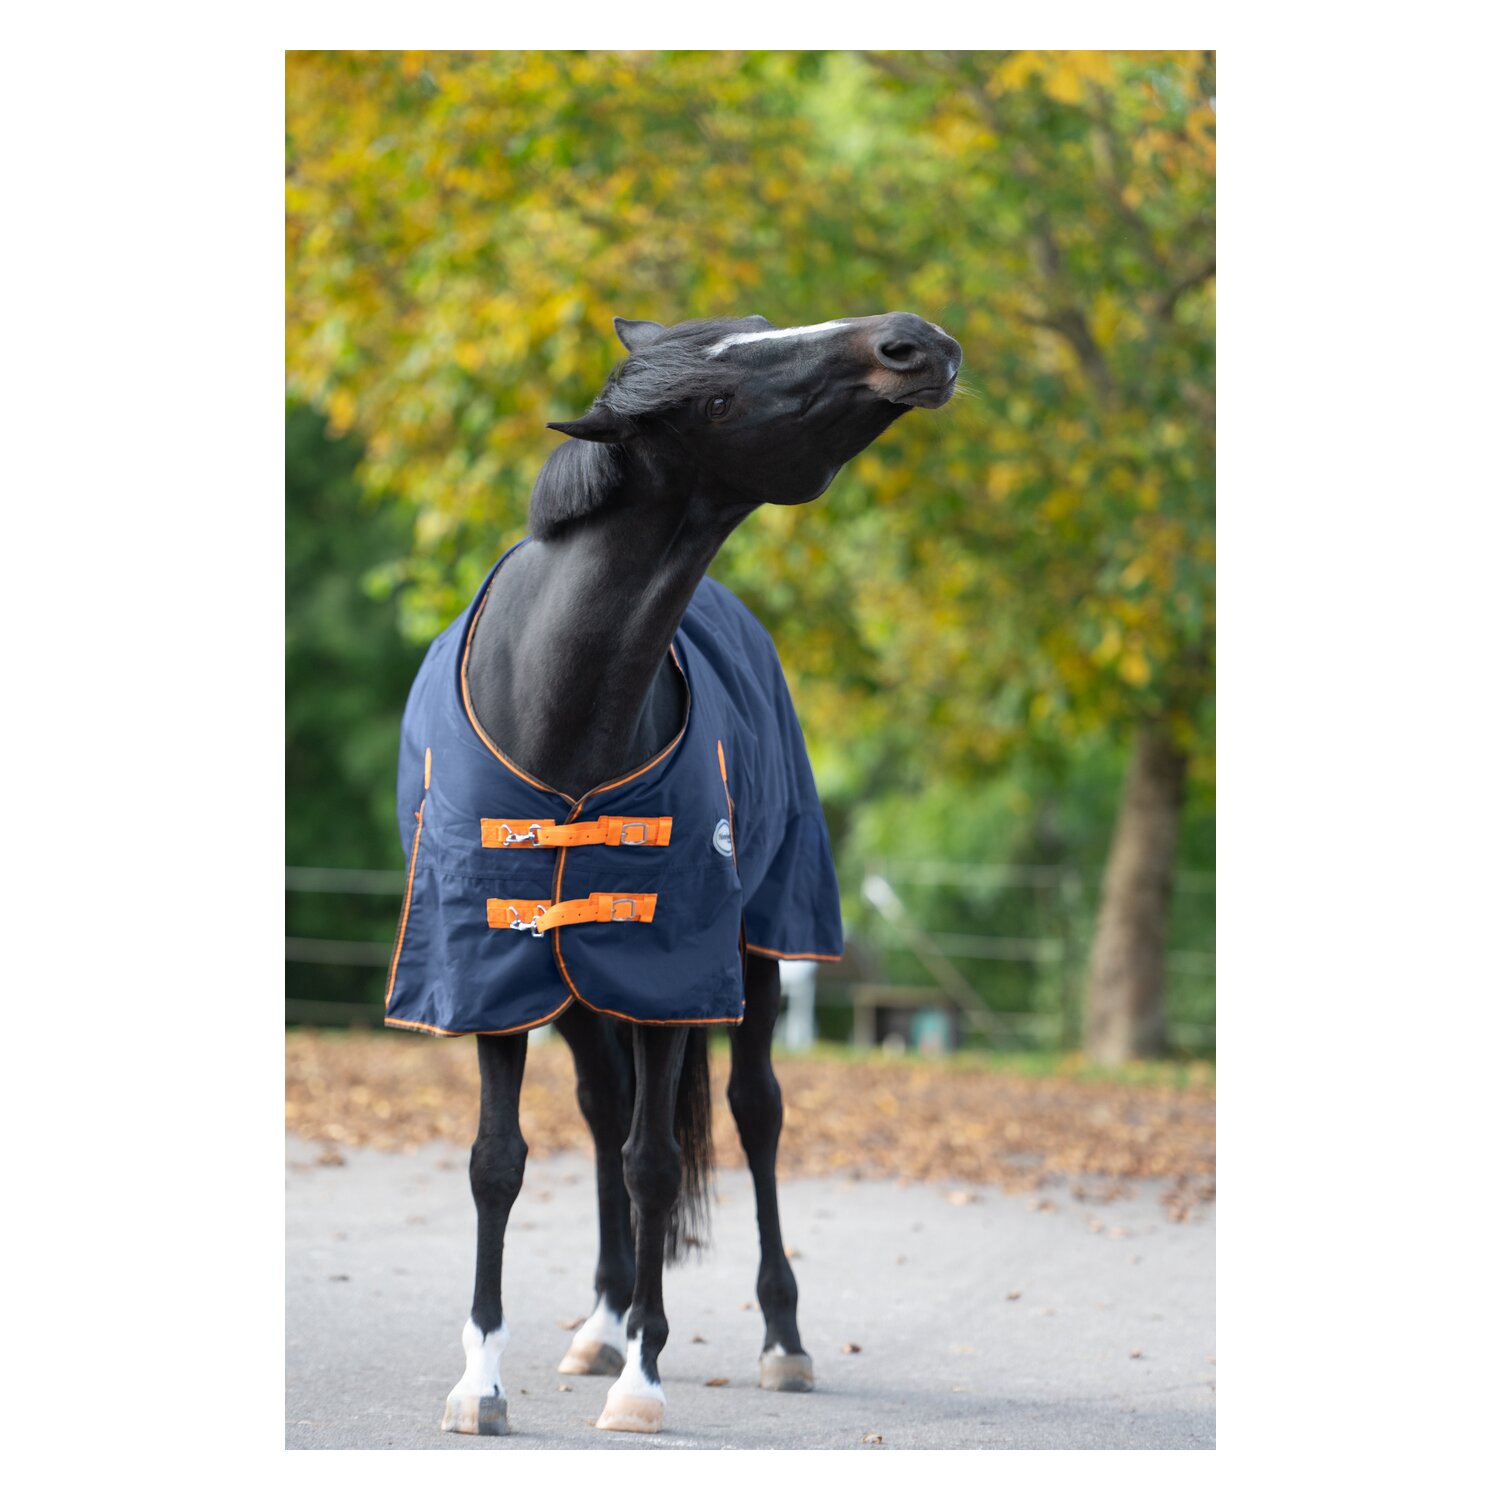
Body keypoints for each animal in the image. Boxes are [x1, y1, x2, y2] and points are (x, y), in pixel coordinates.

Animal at [382, 310, 962, 1436]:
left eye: (758, 331)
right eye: (716, 398)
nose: (911, 341)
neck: (554, 700)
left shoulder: (669, 968)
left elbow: (657, 1164)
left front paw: (644, 1387)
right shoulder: (489, 972)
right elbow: (498, 1163)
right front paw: (482, 1383)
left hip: (756, 949)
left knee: (753, 1113)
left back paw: (779, 1340)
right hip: (574, 987)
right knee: (605, 1113)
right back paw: (603, 1322)